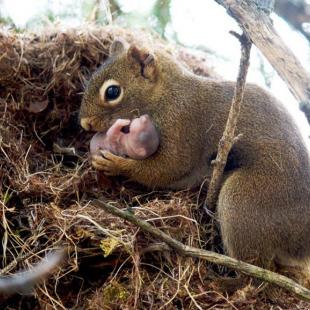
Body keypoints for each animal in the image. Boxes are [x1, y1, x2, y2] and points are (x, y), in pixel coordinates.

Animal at [79, 40, 310, 286]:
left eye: (112, 92)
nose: (85, 123)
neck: (166, 95)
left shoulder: (182, 125)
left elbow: (167, 169)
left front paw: (115, 163)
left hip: (245, 201)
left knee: (256, 274)